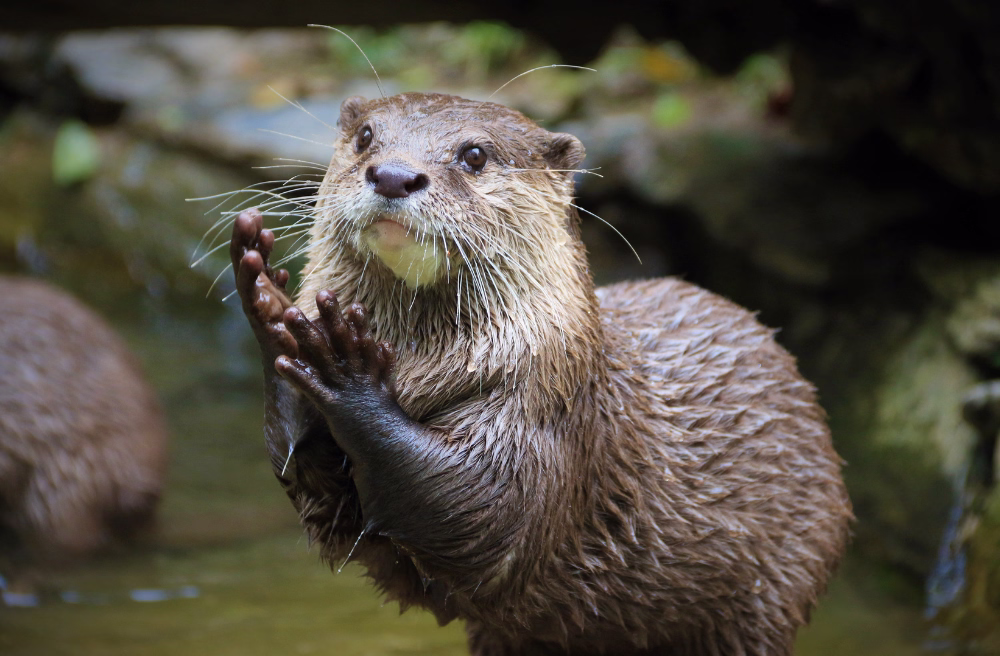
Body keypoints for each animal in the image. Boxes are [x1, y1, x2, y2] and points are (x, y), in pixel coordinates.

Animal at [229, 92, 852, 654]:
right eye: (365, 137)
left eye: (474, 154)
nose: (394, 175)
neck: (417, 368)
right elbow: (326, 508)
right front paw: (269, 305)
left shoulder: (548, 408)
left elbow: (479, 509)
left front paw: (350, 376)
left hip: (770, 593)